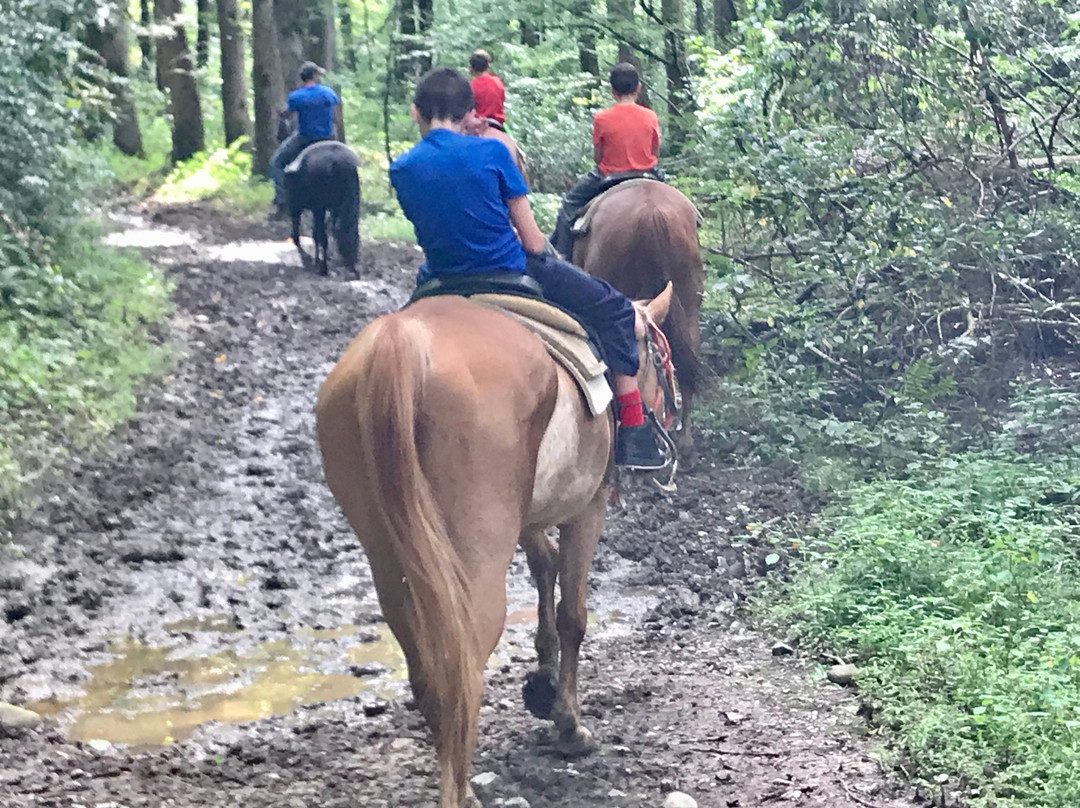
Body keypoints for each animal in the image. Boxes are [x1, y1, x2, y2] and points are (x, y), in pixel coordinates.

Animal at [282, 139, 362, 278]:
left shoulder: (315, 208)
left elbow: (318, 235)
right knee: (343, 230)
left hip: (316, 208)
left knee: (321, 235)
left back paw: (322, 266)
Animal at [315, 285, 678, 808]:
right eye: (659, 357)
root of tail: (398, 344)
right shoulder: (586, 509)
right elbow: (573, 615)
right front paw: (569, 724)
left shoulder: (525, 516)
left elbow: (544, 565)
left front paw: (544, 683)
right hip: (476, 560)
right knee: (461, 669)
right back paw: (463, 791)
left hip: (390, 557)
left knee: (427, 671)